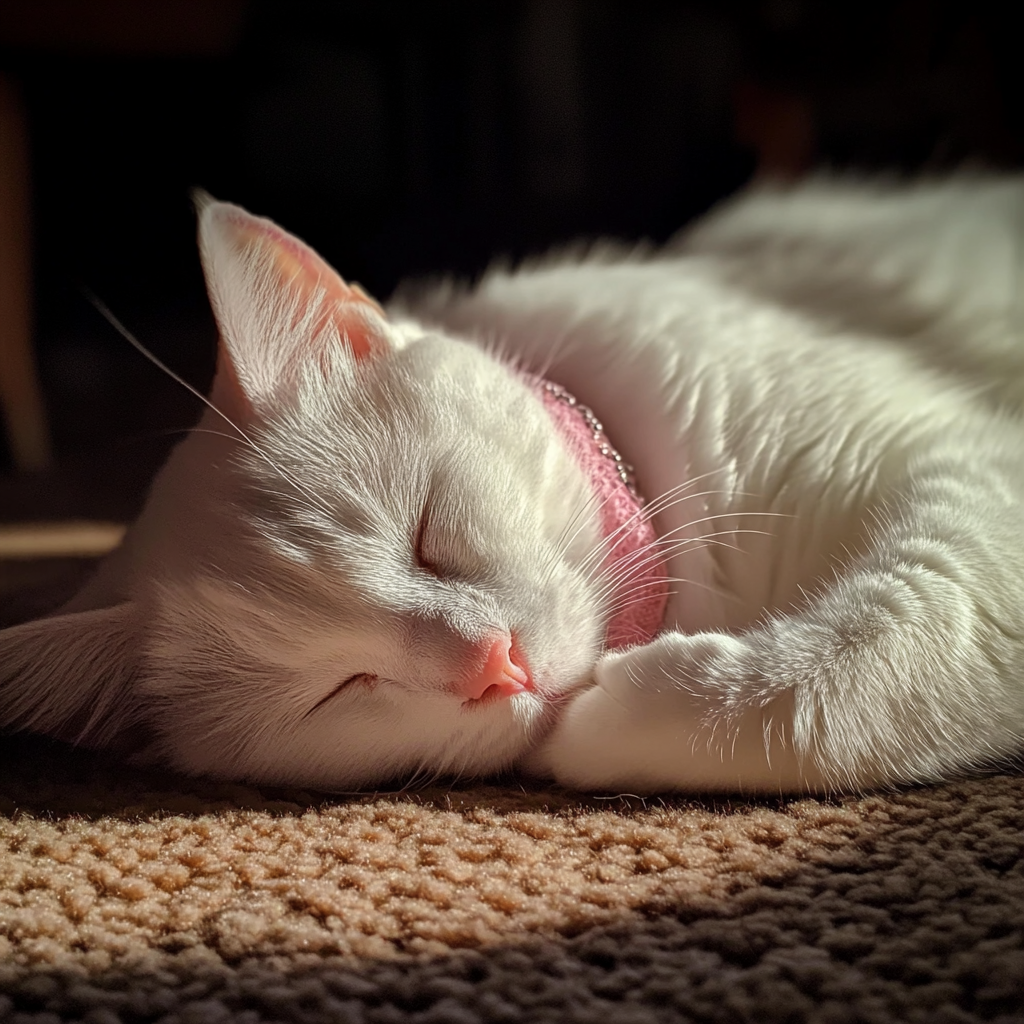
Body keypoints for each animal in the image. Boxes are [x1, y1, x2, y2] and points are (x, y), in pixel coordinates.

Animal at [2, 180, 1024, 794]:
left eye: (427, 532)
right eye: (341, 687)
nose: (495, 664)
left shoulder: (967, 472)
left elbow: (892, 643)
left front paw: (633, 709)